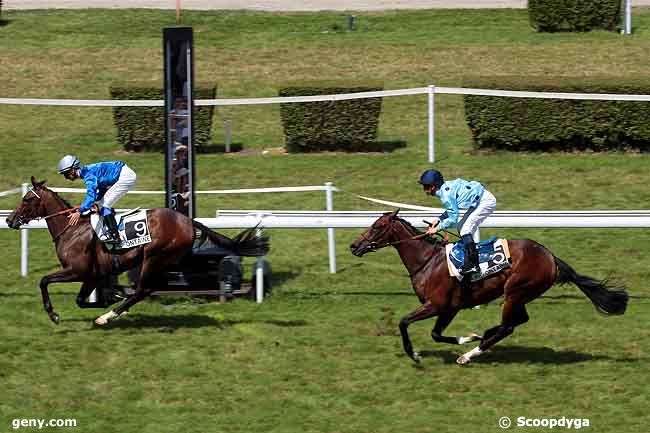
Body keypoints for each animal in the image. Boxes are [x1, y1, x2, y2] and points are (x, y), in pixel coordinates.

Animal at [5, 177, 268, 326]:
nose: (9, 220)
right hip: (164, 260)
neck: (72, 229)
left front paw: (53, 314)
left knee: (144, 289)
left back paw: (107, 317)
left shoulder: (76, 270)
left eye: (27, 199)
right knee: (150, 287)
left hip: (154, 257)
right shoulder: (93, 274)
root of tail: (187, 221)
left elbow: (43, 281)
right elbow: (81, 300)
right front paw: (110, 296)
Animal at [350, 208, 628, 362]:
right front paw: (470, 336)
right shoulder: (449, 308)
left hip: (515, 291)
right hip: (520, 295)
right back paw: (483, 336)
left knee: (508, 326)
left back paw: (469, 355)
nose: (354, 246)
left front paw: (416, 355)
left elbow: (405, 323)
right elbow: (436, 334)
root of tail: (551, 257)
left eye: (377, 226)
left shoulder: (438, 304)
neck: (427, 261)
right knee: (517, 321)